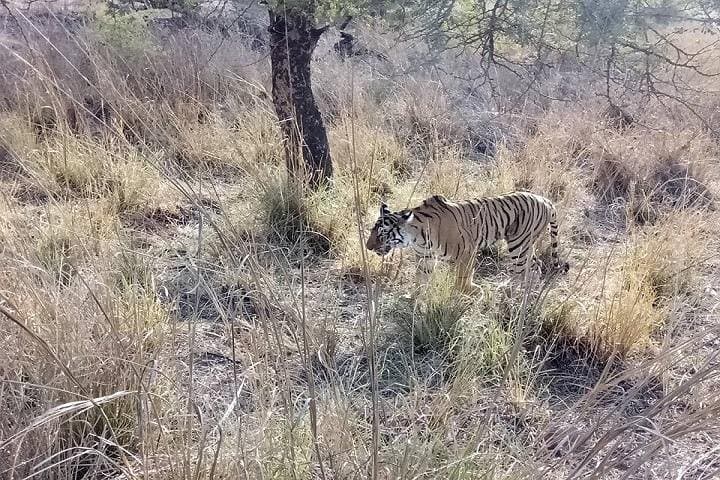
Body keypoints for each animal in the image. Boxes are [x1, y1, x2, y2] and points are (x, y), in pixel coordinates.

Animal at [365, 191, 567, 293]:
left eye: (382, 234)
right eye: (372, 232)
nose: (368, 247)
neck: (417, 238)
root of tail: (546, 200)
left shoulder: (466, 252)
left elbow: (463, 276)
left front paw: (470, 291)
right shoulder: (425, 258)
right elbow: (421, 279)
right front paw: (415, 297)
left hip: (519, 244)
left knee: (524, 270)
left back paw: (513, 294)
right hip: (525, 245)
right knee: (535, 265)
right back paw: (520, 291)